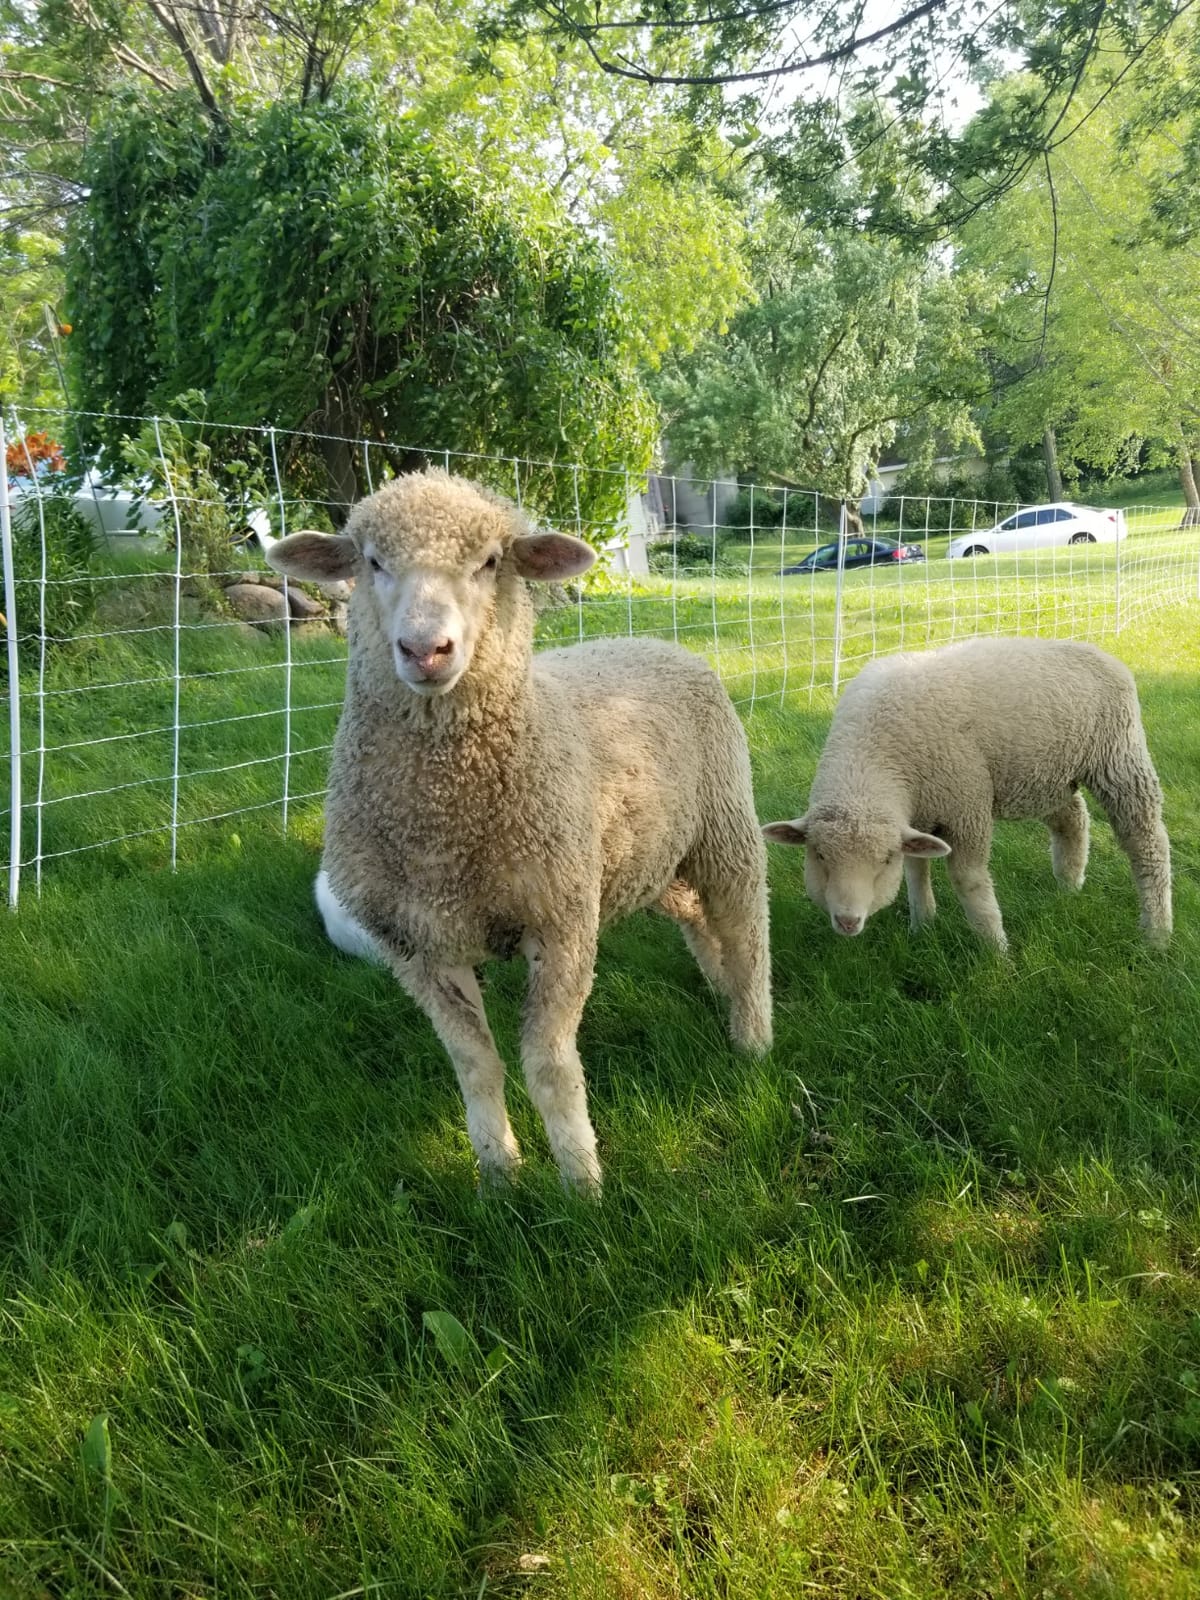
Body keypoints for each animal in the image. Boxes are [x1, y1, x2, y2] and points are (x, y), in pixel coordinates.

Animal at [267, 470, 772, 1193]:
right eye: (371, 561)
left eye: (489, 561)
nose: (425, 650)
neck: (445, 829)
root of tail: (654, 641)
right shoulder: (417, 947)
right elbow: (475, 1065)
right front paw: (499, 1172)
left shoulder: (561, 922)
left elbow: (550, 1064)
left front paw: (581, 1181)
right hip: (645, 859)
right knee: (699, 920)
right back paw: (721, 988)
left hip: (726, 825)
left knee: (746, 926)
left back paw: (752, 1033)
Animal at [761, 636, 1172, 952]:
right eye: (819, 855)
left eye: (884, 860)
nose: (848, 921)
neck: (872, 754)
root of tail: (1099, 652)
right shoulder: (919, 814)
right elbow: (917, 870)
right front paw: (923, 925)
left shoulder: (966, 807)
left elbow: (968, 880)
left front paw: (996, 951)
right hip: (1047, 775)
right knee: (1072, 818)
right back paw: (1068, 886)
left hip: (1120, 758)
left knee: (1147, 842)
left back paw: (1157, 932)